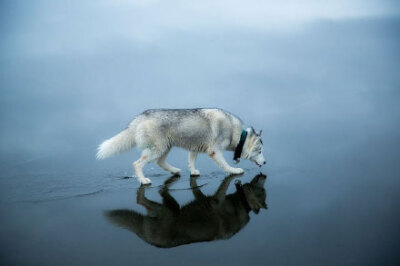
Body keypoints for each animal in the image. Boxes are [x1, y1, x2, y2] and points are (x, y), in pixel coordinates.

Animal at [96, 109, 266, 184]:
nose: (265, 162)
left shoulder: (195, 148)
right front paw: (234, 170)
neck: (237, 134)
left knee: (160, 162)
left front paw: (193, 171)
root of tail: (141, 116)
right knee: (137, 163)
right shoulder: (214, 151)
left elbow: (191, 161)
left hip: (166, 147)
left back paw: (175, 170)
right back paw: (143, 180)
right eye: (259, 151)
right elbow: (225, 165)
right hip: (157, 149)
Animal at [106, 174, 268, 248]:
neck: (241, 203)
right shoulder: (216, 200)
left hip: (170, 207)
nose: (264, 174)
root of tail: (144, 237)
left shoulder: (204, 198)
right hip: (167, 210)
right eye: (263, 190)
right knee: (141, 199)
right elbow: (227, 180)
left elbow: (194, 184)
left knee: (156, 193)